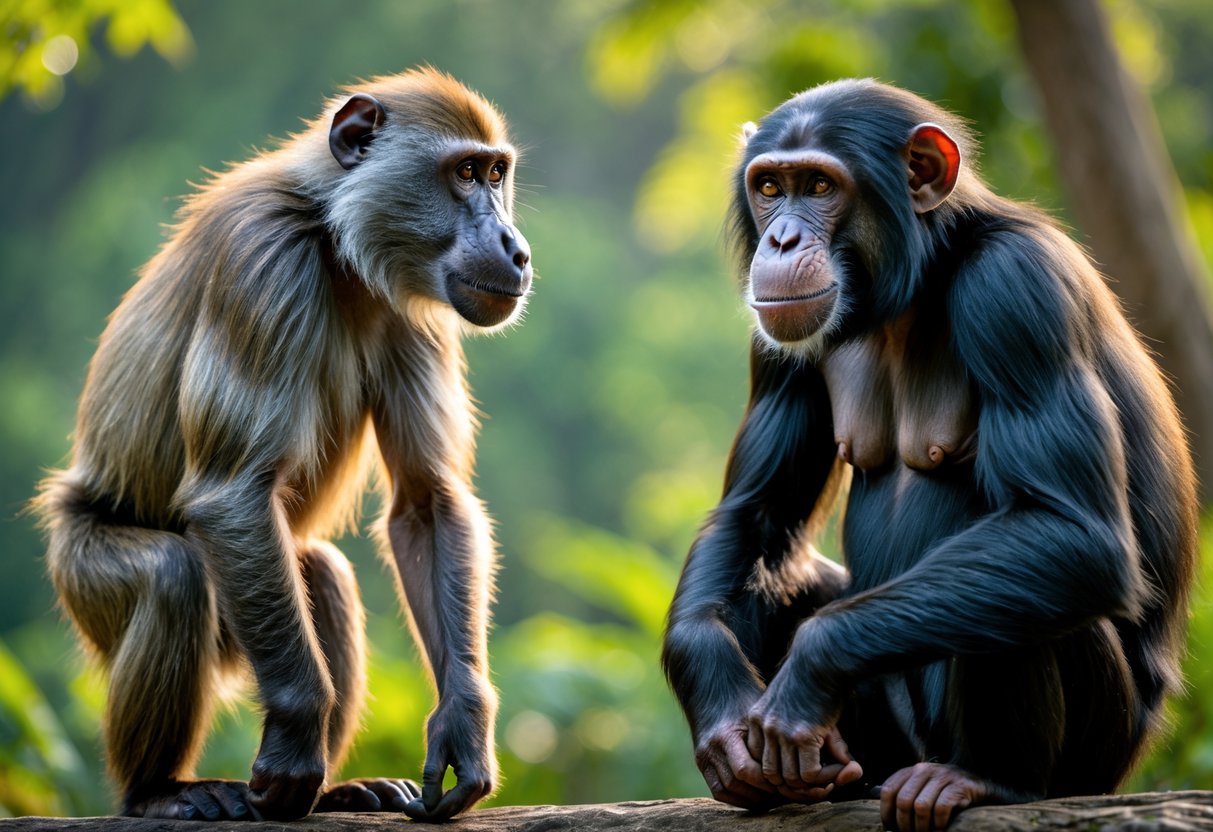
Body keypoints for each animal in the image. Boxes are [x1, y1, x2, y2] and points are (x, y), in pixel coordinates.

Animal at [34, 67, 531, 822]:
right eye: (466, 173)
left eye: (497, 174)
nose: (515, 248)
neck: (333, 240)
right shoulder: (261, 259)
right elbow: (233, 492)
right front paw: (296, 741)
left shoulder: (413, 309)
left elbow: (426, 502)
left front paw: (463, 725)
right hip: (81, 567)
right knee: (173, 576)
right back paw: (159, 790)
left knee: (323, 576)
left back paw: (333, 791)